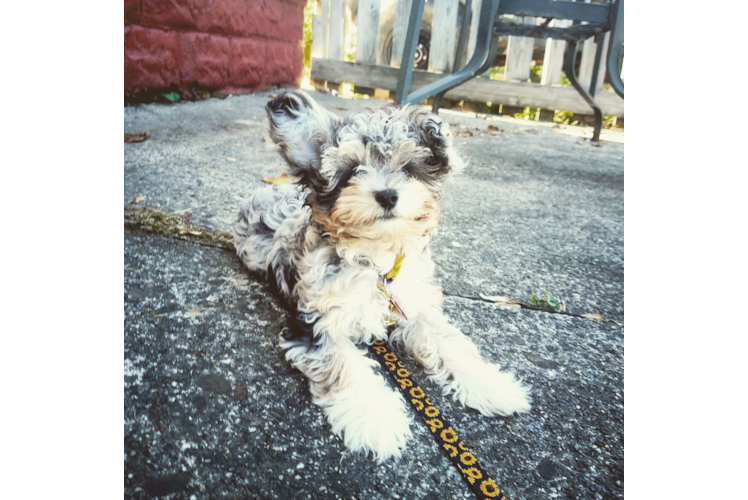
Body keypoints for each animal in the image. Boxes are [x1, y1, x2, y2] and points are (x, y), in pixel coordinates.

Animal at [234, 90, 532, 460]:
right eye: (351, 171)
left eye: (407, 169)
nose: (388, 194)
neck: (376, 260)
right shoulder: (314, 323)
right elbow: (343, 364)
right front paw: (375, 418)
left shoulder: (415, 305)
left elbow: (449, 342)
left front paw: (491, 385)